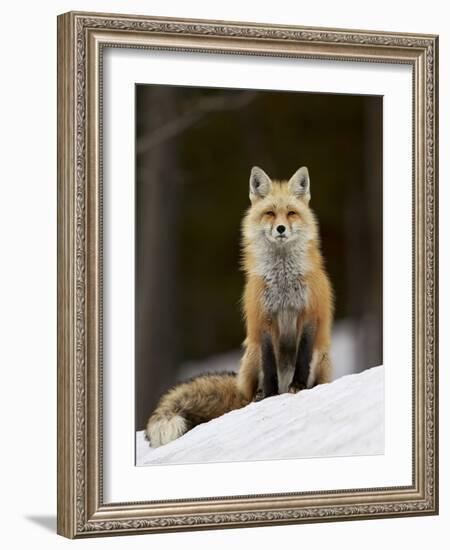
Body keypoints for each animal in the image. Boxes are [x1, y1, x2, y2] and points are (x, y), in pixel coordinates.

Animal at [146, 167, 332, 448]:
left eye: (291, 213)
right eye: (269, 213)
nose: (280, 228)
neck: (282, 280)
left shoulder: (309, 314)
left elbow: (302, 356)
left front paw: (298, 387)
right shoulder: (263, 320)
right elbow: (269, 365)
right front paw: (270, 396)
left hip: (321, 357)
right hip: (250, 354)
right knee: (251, 389)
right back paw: (258, 396)